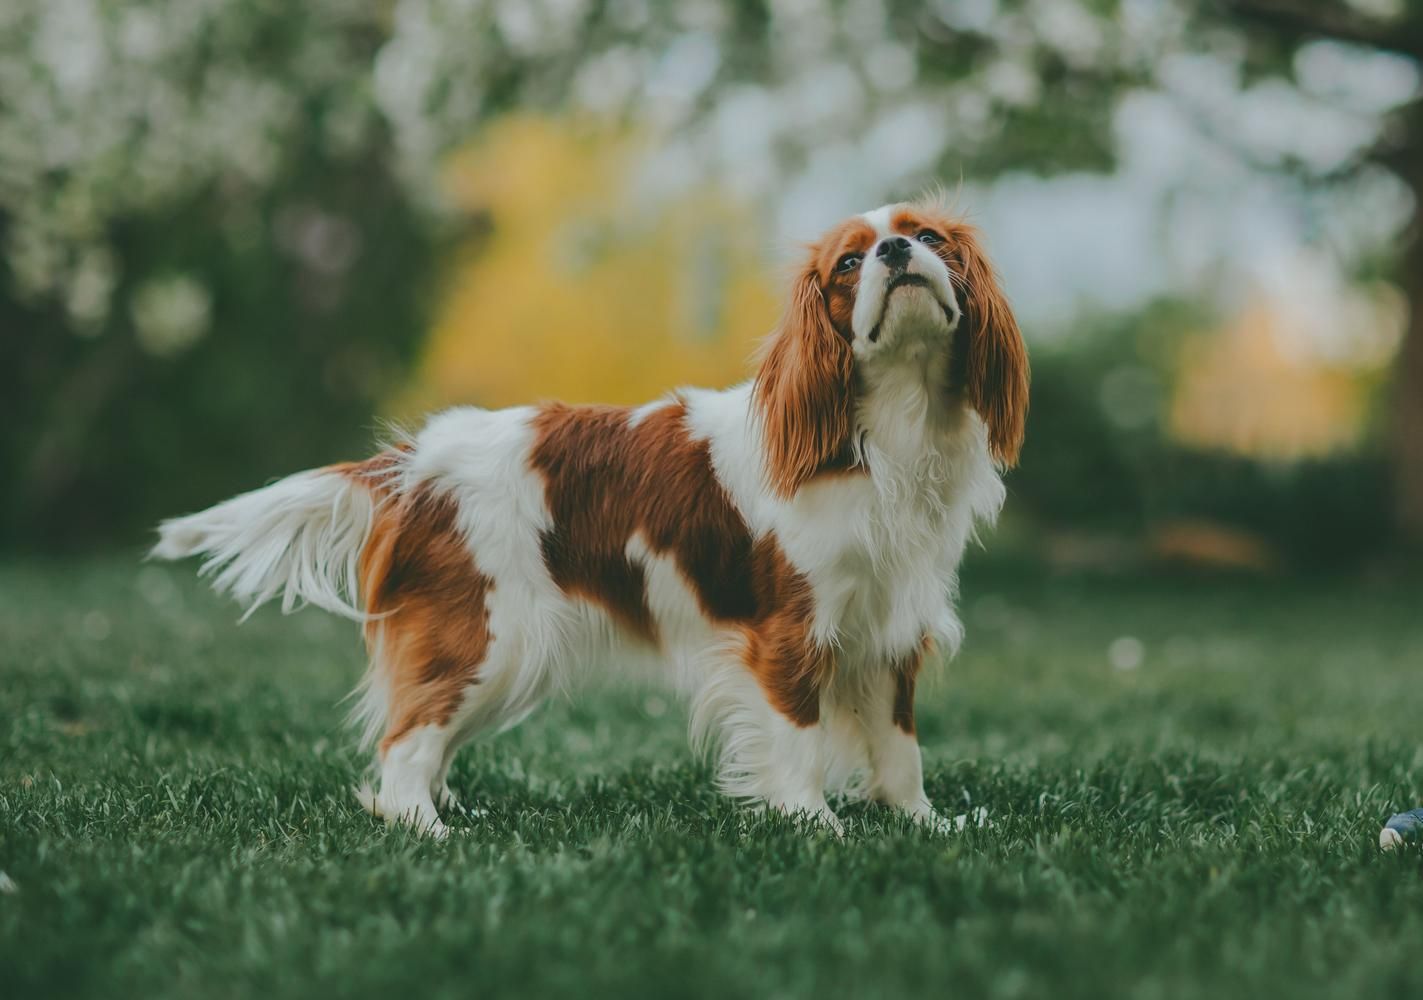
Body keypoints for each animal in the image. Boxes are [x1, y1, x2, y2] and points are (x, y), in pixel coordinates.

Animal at [152, 197, 1024, 836]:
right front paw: (814, 827)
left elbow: (899, 748)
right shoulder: (788, 631)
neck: (886, 434)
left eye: (929, 237)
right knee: (404, 742)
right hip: (487, 637)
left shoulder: (889, 627)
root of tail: (409, 460)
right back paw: (427, 829)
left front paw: (923, 824)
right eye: (848, 261)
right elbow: (799, 737)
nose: (895, 252)